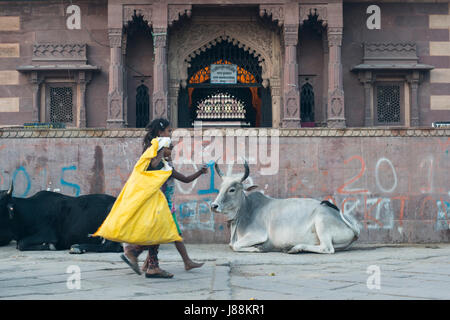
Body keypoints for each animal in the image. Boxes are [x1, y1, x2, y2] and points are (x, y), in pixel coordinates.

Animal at [209, 161, 360, 254]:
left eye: (232, 189)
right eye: (220, 188)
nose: (214, 206)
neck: (246, 210)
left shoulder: (257, 234)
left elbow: (235, 245)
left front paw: (258, 248)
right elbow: (232, 245)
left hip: (321, 222)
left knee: (327, 248)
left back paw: (295, 248)